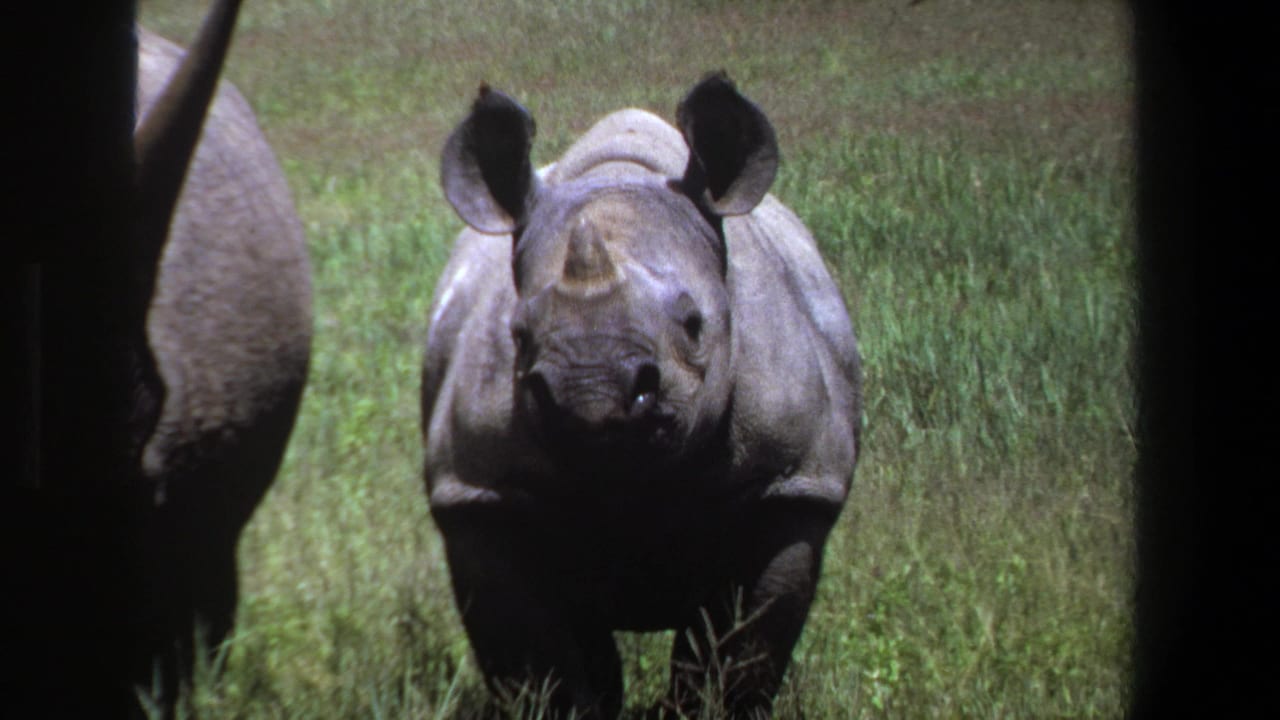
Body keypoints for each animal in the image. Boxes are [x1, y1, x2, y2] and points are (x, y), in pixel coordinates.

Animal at [423, 73, 861, 718]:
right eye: (518, 335)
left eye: (694, 325)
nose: (591, 394)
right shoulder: (478, 493)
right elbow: (537, 664)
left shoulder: (789, 482)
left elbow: (734, 658)